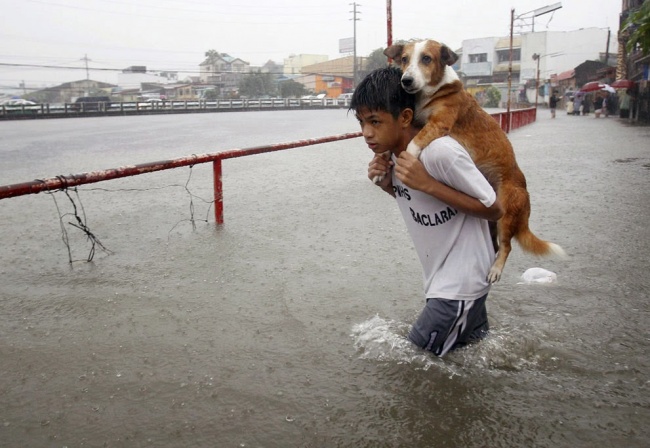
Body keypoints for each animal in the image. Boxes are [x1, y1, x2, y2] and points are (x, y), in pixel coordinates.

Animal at [384, 39, 560, 284]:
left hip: (505, 215)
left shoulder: (438, 123)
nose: (406, 81)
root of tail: (525, 193)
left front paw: (407, 160)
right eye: (404, 59)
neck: (433, 92)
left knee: (506, 247)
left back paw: (496, 270)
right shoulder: (419, 121)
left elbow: (413, 144)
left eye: (426, 59)